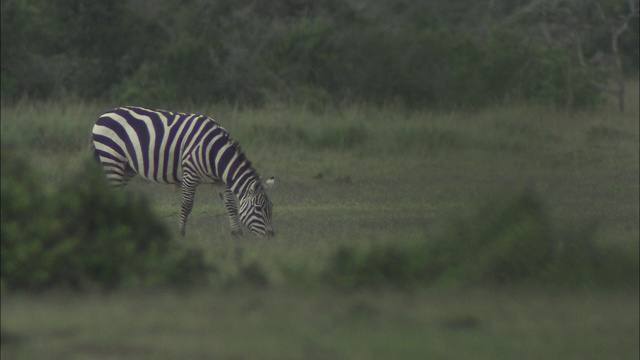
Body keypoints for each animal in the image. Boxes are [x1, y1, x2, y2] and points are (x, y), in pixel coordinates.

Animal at [89, 105, 274, 238]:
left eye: (271, 208)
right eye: (258, 208)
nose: (271, 237)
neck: (215, 153)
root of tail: (103, 114)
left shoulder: (220, 180)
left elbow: (230, 204)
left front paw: (236, 233)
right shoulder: (190, 174)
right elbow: (187, 205)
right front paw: (181, 233)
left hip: (126, 167)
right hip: (111, 159)